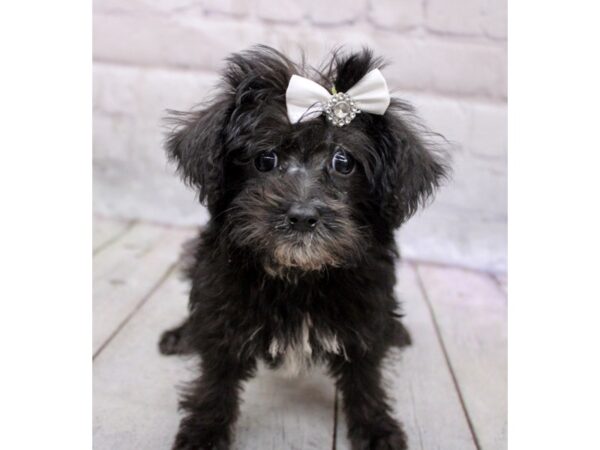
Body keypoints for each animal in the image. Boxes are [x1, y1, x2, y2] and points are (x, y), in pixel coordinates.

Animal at [158, 46, 446, 450]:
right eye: (265, 159)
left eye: (343, 162)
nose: (302, 216)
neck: (299, 274)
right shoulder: (222, 302)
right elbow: (215, 377)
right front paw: (203, 433)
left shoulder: (365, 311)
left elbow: (365, 377)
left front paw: (377, 428)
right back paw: (181, 335)